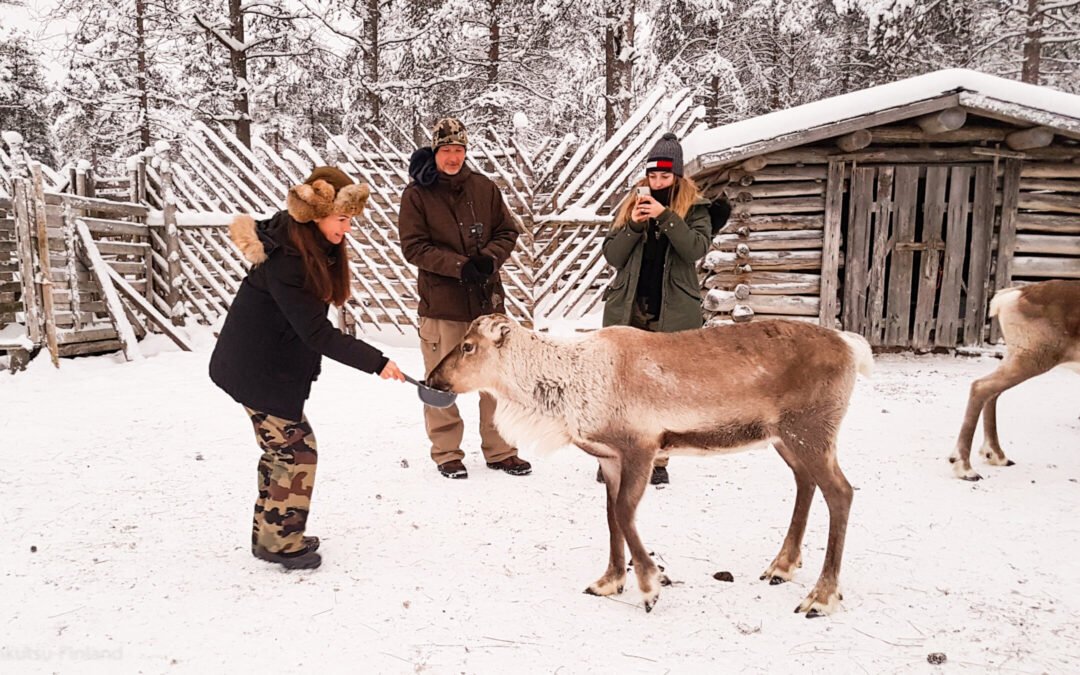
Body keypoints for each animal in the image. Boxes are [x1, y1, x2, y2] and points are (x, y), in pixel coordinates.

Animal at [426, 315, 873, 616]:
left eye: (468, 345)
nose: (432, 379)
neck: (568, 387)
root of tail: (853, 346)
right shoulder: (609, 458)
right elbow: (610, 516)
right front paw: (609, 581)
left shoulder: (642, 445)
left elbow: (625, 513)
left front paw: (650, 584)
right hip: (786, 437)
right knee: (805, 483)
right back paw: (781, 566)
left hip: (810, 429)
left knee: (842, 492)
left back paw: (821, 597)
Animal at [950, 279, 1080, 481]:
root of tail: (1010, 296)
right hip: (1033, 356)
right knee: (981, 386)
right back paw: (965, 468)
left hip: (1015, 354)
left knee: (992, 392)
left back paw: (996, 455)